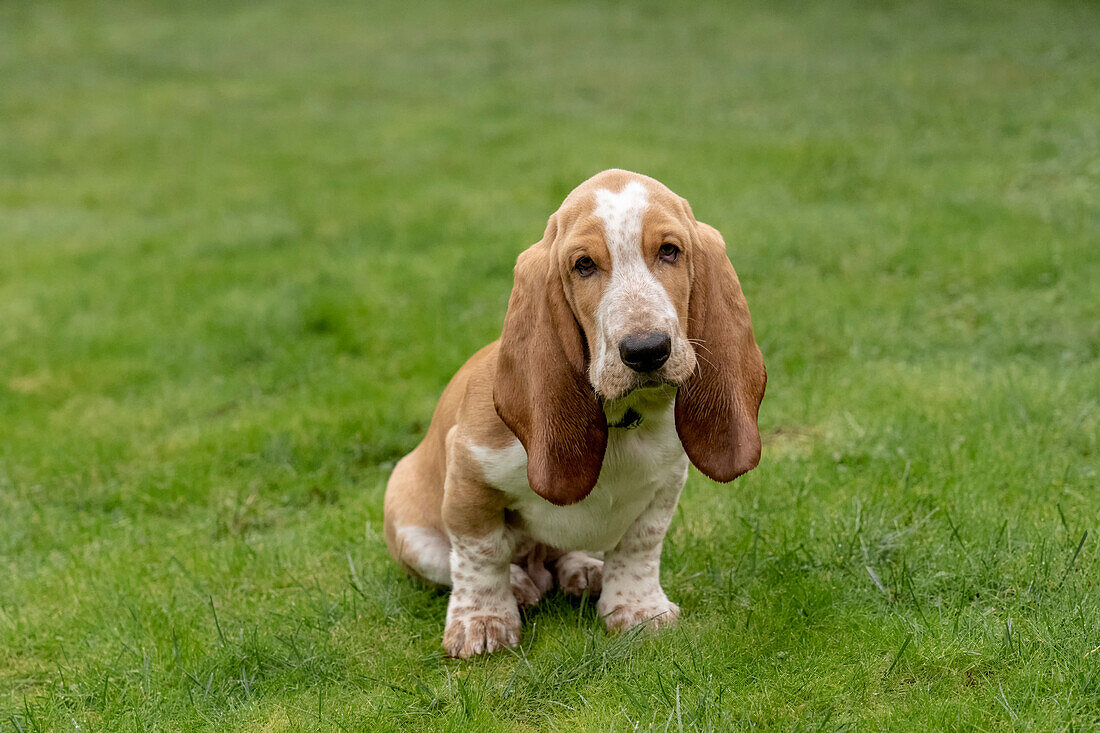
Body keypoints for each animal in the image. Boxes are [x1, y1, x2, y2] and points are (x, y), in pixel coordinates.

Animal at [385, 169, 765, 655]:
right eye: (584, 265)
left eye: (669, 251)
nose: (646, 350)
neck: (622, 421)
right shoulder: (470, 474)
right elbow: (481, 553)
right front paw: (483, 622)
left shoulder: (665, 485)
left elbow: (640, 545)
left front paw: (639, 609)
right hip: (406, 522)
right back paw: (520, 585)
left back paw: (582, 570)